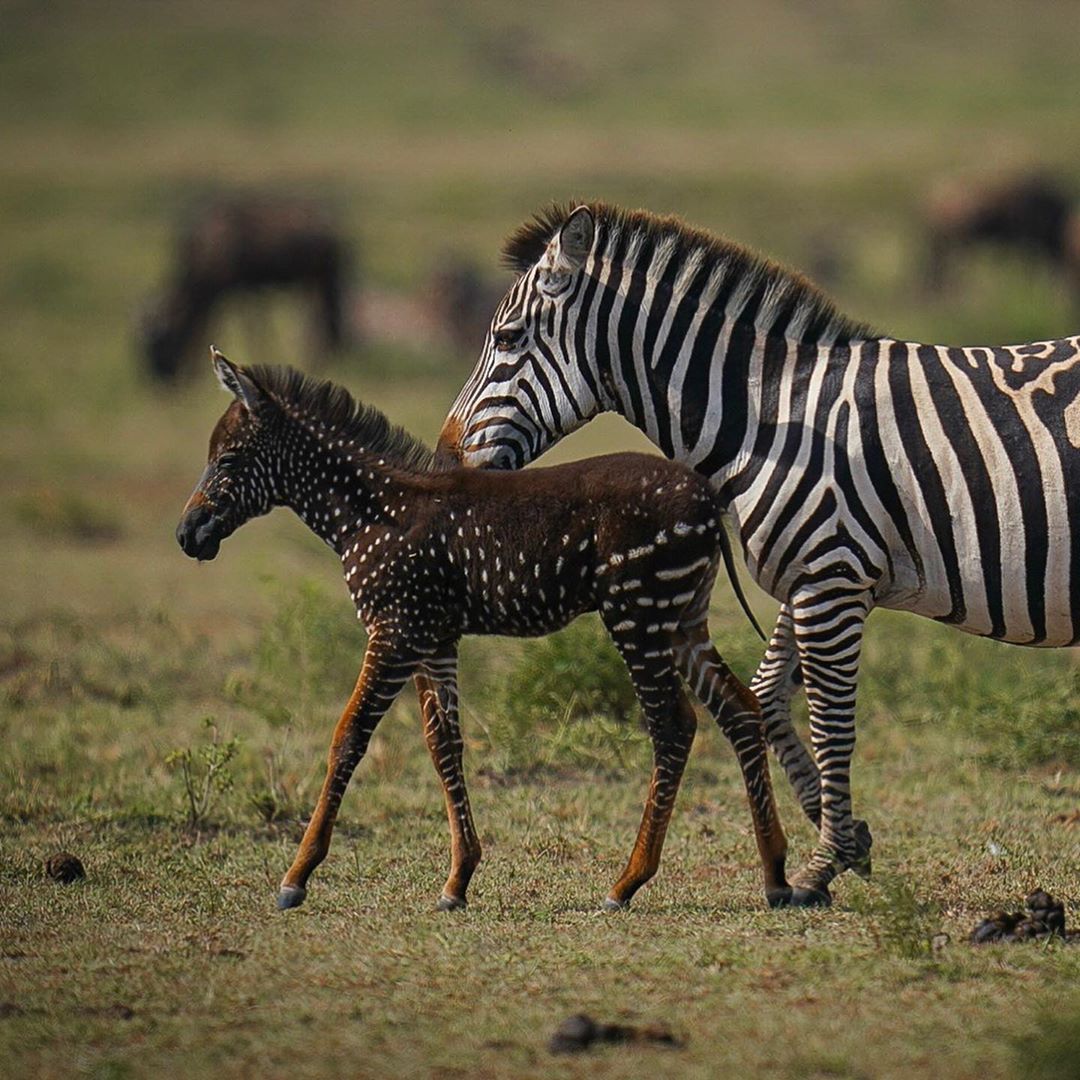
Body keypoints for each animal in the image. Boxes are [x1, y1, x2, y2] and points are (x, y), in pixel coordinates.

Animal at [176, 348, 789, 912]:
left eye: (228, 459)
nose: (187, 535)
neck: (369, 514)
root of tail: (706, 496)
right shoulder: (432, 637)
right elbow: (442, 741)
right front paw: (458, 878)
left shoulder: (394, 632)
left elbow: (348, 736)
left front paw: (297, 875)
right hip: (681, 619)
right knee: (740, 710)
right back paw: (776, 875)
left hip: (638, 613)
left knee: (674, 726)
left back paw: (627, 883)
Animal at [434, 201, 1080, 906]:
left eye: (509, 338)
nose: (444, 460)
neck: (769, 420)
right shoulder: (812, 576)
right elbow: (767, 697)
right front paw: (847, 839)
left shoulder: (832, 576)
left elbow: (831, 724)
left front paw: (821, 863)